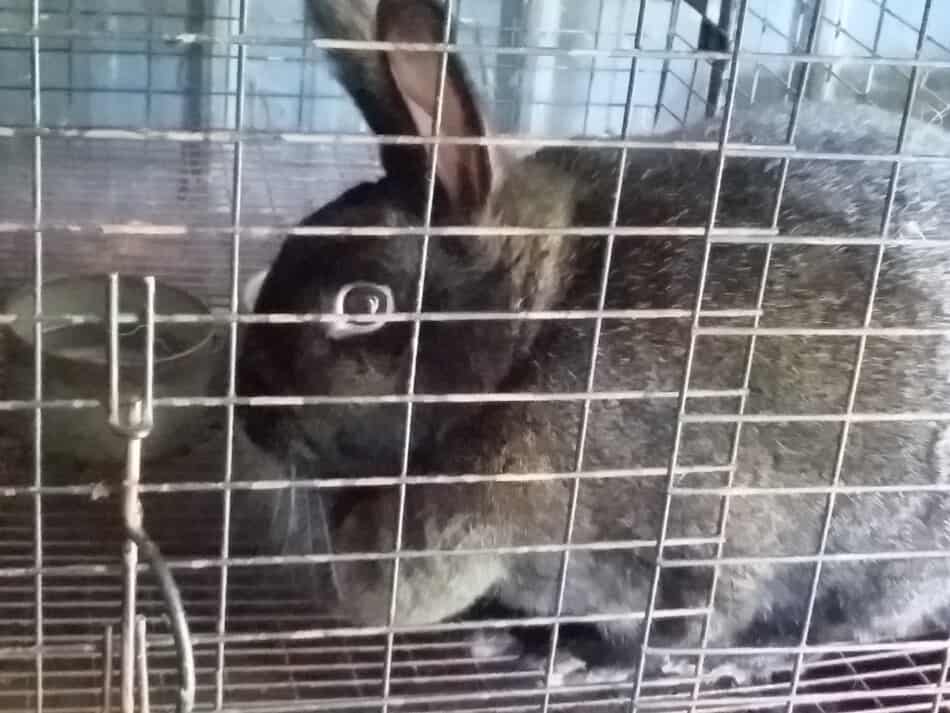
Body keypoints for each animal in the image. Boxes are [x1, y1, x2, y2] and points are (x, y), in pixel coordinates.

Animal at [234, 0, 950, 680]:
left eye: (362, 305)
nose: (250, 418)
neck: (532, 335)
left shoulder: (691, 542)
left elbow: (679, 625)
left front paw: (569, 655)